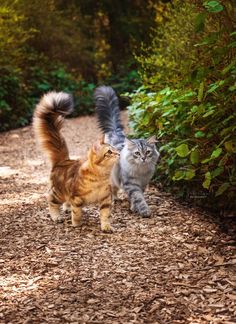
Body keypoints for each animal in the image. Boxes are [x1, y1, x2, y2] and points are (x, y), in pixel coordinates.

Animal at [32, 92, 119, 233]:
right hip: (58, 193)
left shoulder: (105, 199)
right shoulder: (77, 197)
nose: (119, 154)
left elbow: (105, 215)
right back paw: (56, 216)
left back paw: (66, 209)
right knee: (50, 200)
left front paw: (106, 226)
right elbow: (77, 212)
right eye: (109, 152)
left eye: (115, 150)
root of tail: (63, 160)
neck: (100, 177)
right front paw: (76, 224)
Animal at [95, 86, 159, 218]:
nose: (143, 158)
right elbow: (138, 197)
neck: (141, 170)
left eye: (148, 152)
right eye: (137, 153)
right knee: (112, 188)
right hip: (112, 177)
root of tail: (115, 132)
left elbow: (137, 197)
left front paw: (134, 207)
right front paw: (144, 211)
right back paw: (113, 199)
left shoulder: (143, 183)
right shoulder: (131, 184)